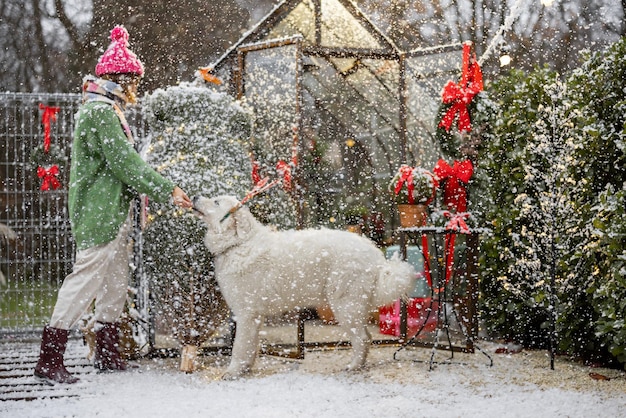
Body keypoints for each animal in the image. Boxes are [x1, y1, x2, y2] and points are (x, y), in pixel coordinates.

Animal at [190, 196, 414, 378]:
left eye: (216, 202)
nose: (194, 197)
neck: (237, 243)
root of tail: (374, 253)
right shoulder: (255, 317)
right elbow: (251, 346)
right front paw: (246, 368)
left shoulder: (246, 314)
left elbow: (239, 347)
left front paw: (233, 371)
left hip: (346, 305)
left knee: (363, 338)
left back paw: (354, 366)